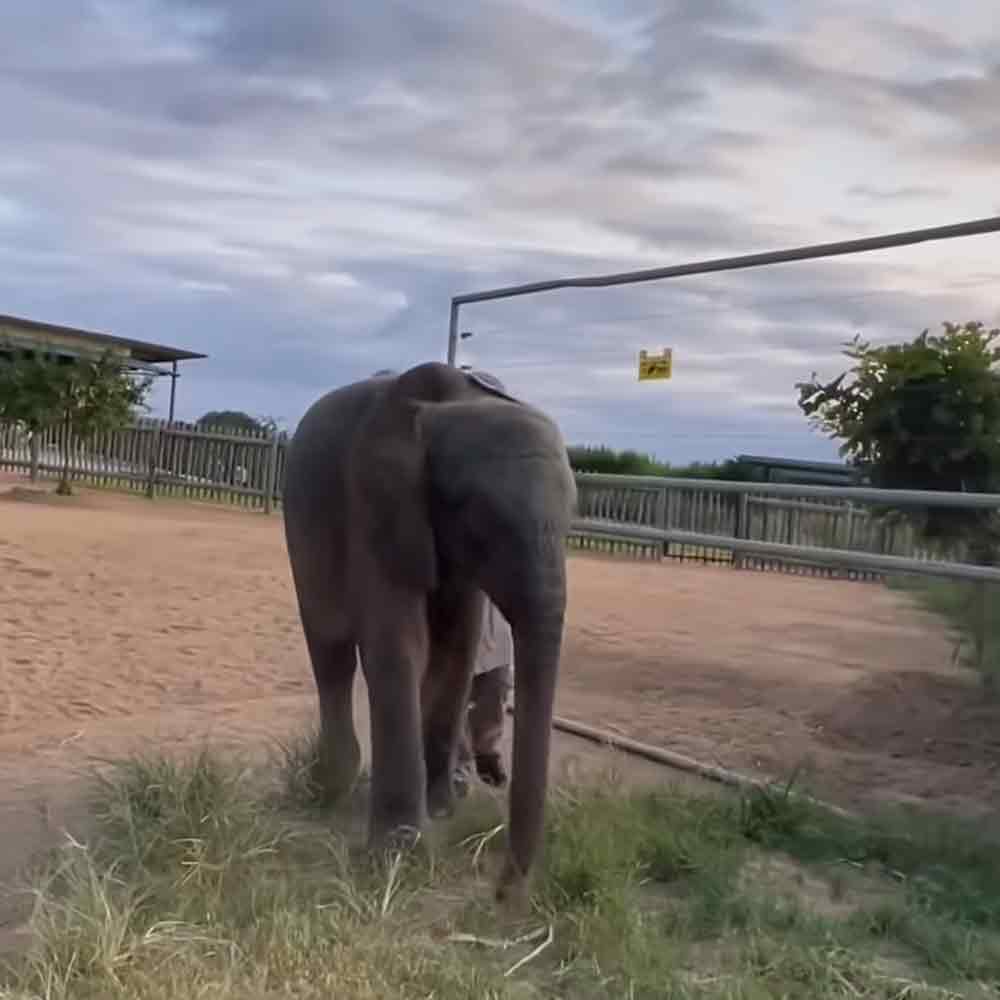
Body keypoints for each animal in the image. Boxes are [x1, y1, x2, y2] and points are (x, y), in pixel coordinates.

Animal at [281, 361, 577, 901]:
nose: (503, 895)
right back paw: (330, 785)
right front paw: (396, 851)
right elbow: (402, 644)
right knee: (332, 653)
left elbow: (456, 648)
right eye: (486, 524)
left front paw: (442, 810)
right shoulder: (375, 502)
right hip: (302, 531)